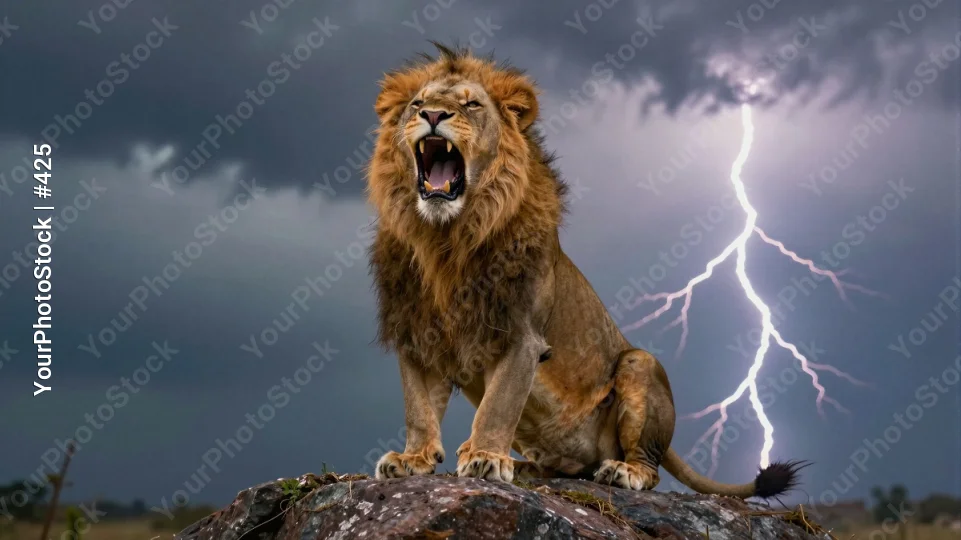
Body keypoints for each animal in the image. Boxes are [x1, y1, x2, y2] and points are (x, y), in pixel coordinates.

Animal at [365, 43, 805, 498]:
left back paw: (621, 471)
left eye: (471, 104)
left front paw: (485, 456)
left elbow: (498, 406)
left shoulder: (521, 335)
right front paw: (413, 459)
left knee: (649, 467)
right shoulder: (415, 331)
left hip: (639, 365)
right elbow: (418, 407)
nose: (433, 115)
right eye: (417, 104)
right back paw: (526, 467)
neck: (446, 239)